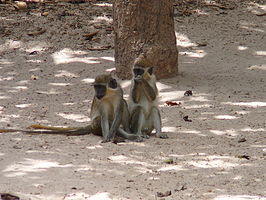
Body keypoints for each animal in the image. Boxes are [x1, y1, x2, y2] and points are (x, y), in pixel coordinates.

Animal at [0, 73, 137, 142]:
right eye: (96, 87)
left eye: (101, 87)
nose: (98, 94)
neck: (109, 94)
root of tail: (90, 126)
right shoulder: (100, 102)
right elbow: (103, 117)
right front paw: (107, 137)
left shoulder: (119, 93)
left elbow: (119, 111)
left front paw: (111, 135)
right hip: (95, 125)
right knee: (100, 120)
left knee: (124, 105)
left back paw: (129, 134)